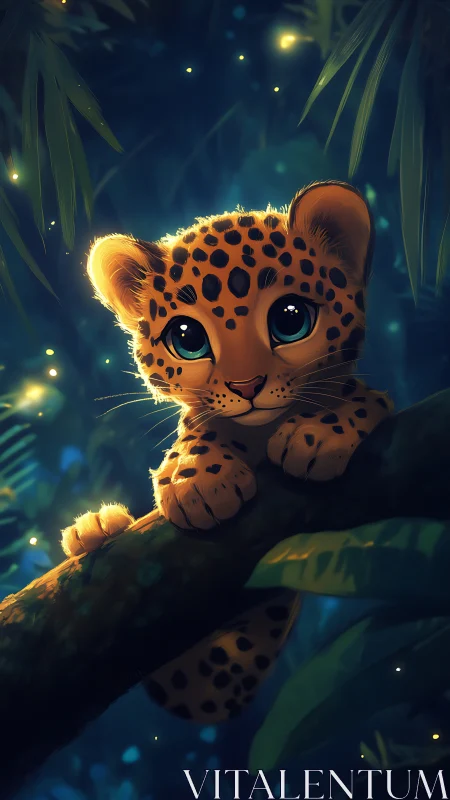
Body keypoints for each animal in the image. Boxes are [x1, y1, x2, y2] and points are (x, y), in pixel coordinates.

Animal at [61, 181, 393, 723]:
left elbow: (353, 397)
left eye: (290, 319)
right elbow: (198, 433)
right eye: (187, 338)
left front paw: (316, 435)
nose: (246, 386)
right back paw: (95, 527)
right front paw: (198, 479)